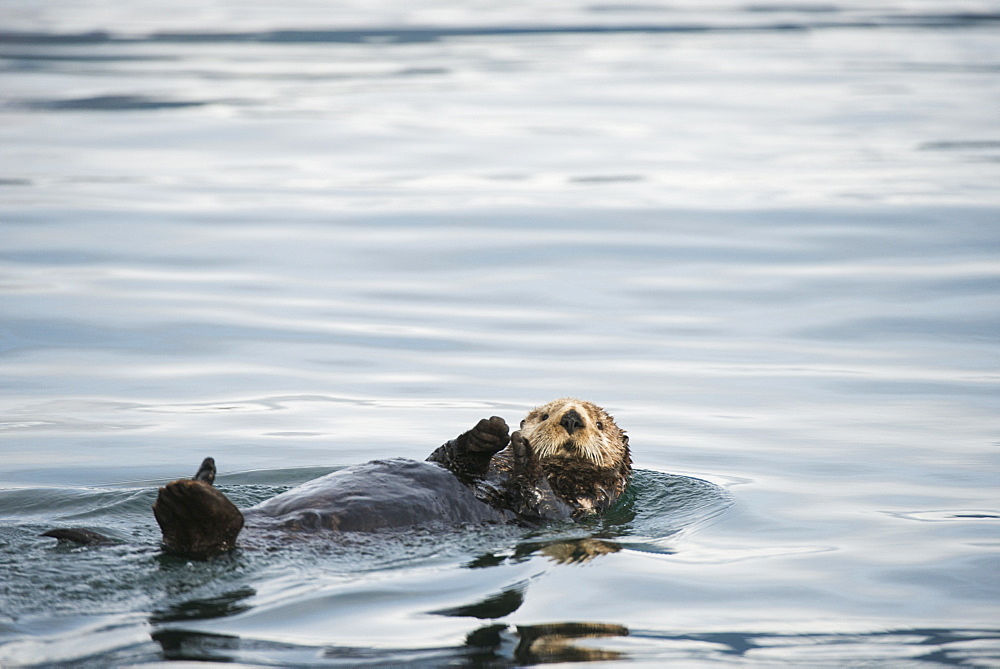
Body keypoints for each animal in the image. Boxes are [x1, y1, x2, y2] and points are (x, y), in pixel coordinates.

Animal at [47, 396, 628, 560]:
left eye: (597, 422)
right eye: (546, 411)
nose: (570, 419)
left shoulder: (570, 511)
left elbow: (542, 506)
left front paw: (524, 453)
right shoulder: (458, 464)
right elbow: (452, 457)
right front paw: (492, 430)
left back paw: (190, 502)